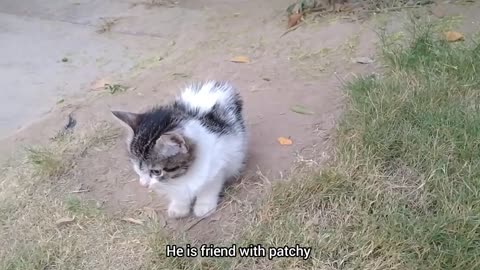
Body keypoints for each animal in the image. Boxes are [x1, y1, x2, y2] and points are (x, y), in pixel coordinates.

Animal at [111, 81, 248, 218]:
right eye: (136, 166)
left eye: (156, 172)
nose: (144, 184)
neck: (183, 174)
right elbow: (179, 194)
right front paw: (179, 207)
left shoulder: (218, 166)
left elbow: (208, 188)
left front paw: (204, 206)